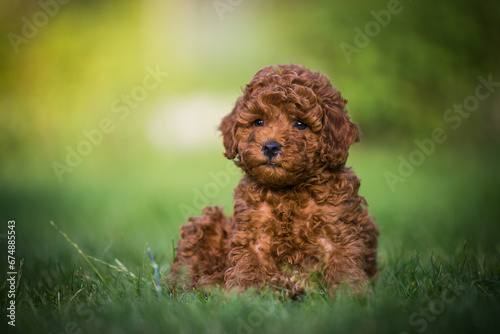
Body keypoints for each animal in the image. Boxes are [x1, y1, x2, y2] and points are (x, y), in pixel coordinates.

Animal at [168, 64, 378, 296]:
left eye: (300, 124)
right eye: (258, 121)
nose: (270, 146)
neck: (288, 190)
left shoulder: (339, 228)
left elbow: (343, 264)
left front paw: (351, 294)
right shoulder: (252, 233)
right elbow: (248, 265)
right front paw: (243, 295)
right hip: (207, 224)